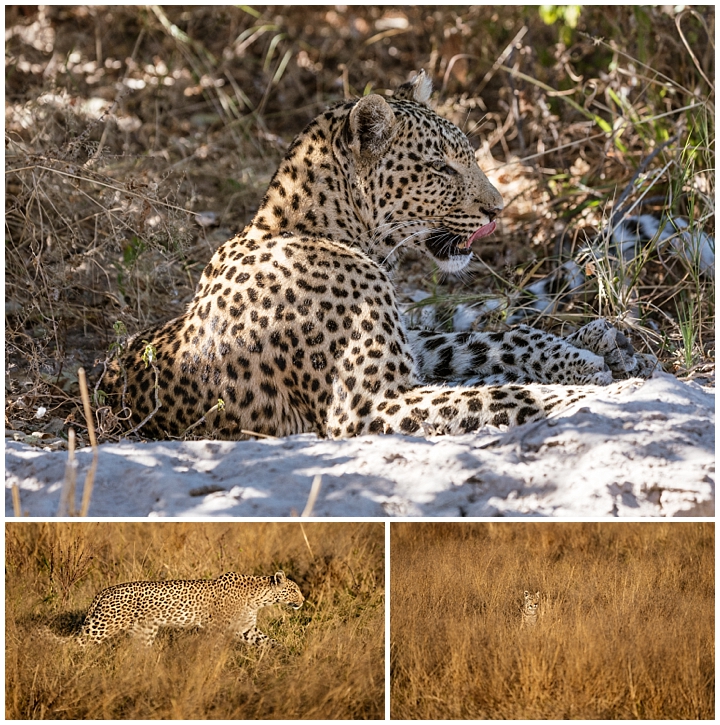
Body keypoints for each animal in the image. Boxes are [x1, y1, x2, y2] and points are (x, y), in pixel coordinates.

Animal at [75, 572, 304, 644]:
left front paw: (285, 656)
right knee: (76, 643)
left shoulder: (246, 629)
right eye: (294, 590)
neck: (258, 598)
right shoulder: (216, 628)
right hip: (101, 627)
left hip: (144, 631)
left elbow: (269, 643)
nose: (303, 600)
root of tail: (103, 592)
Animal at [107, 70, 652, 438]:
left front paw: (583, 358)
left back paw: (604, 337)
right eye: (440, 167)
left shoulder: (411, 349)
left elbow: (490, 339)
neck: (328, 233)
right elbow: (500, 392)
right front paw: (599, 395)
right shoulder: (368, 405)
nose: (499, 209)